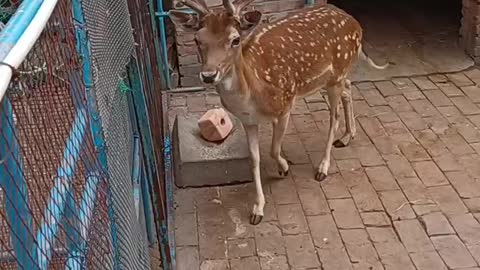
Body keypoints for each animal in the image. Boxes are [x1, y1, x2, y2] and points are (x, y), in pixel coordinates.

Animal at [171, 0, 388, 226]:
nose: (208, 75)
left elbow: (274, 149)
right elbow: (254, 159)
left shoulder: (285, 104)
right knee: (348, 87)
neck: (253, 93)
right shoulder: (248, 121)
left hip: (337, 74)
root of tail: (356, 24)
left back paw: (323, 167)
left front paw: (284, 168)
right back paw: (347, 136)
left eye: (235, 39)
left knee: (333, 117)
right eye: (197, 39)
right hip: (333, 79)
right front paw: (257, 209)